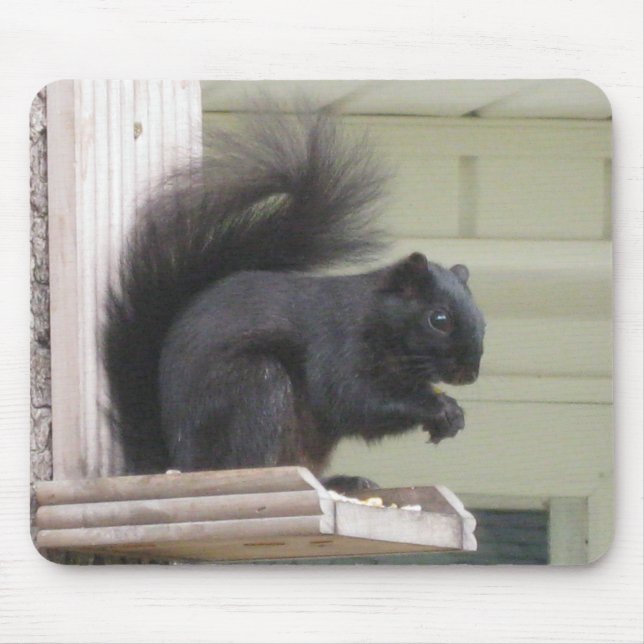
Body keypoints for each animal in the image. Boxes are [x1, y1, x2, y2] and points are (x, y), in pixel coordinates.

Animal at [103, 104, 485, 494]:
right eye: (438, 319)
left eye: (482, 321)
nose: (469, 374)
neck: (378, 320)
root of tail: (180, 465)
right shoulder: (336, 348)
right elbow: (354, 400)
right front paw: (438, 407)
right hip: (255, 388)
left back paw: (343, 481)